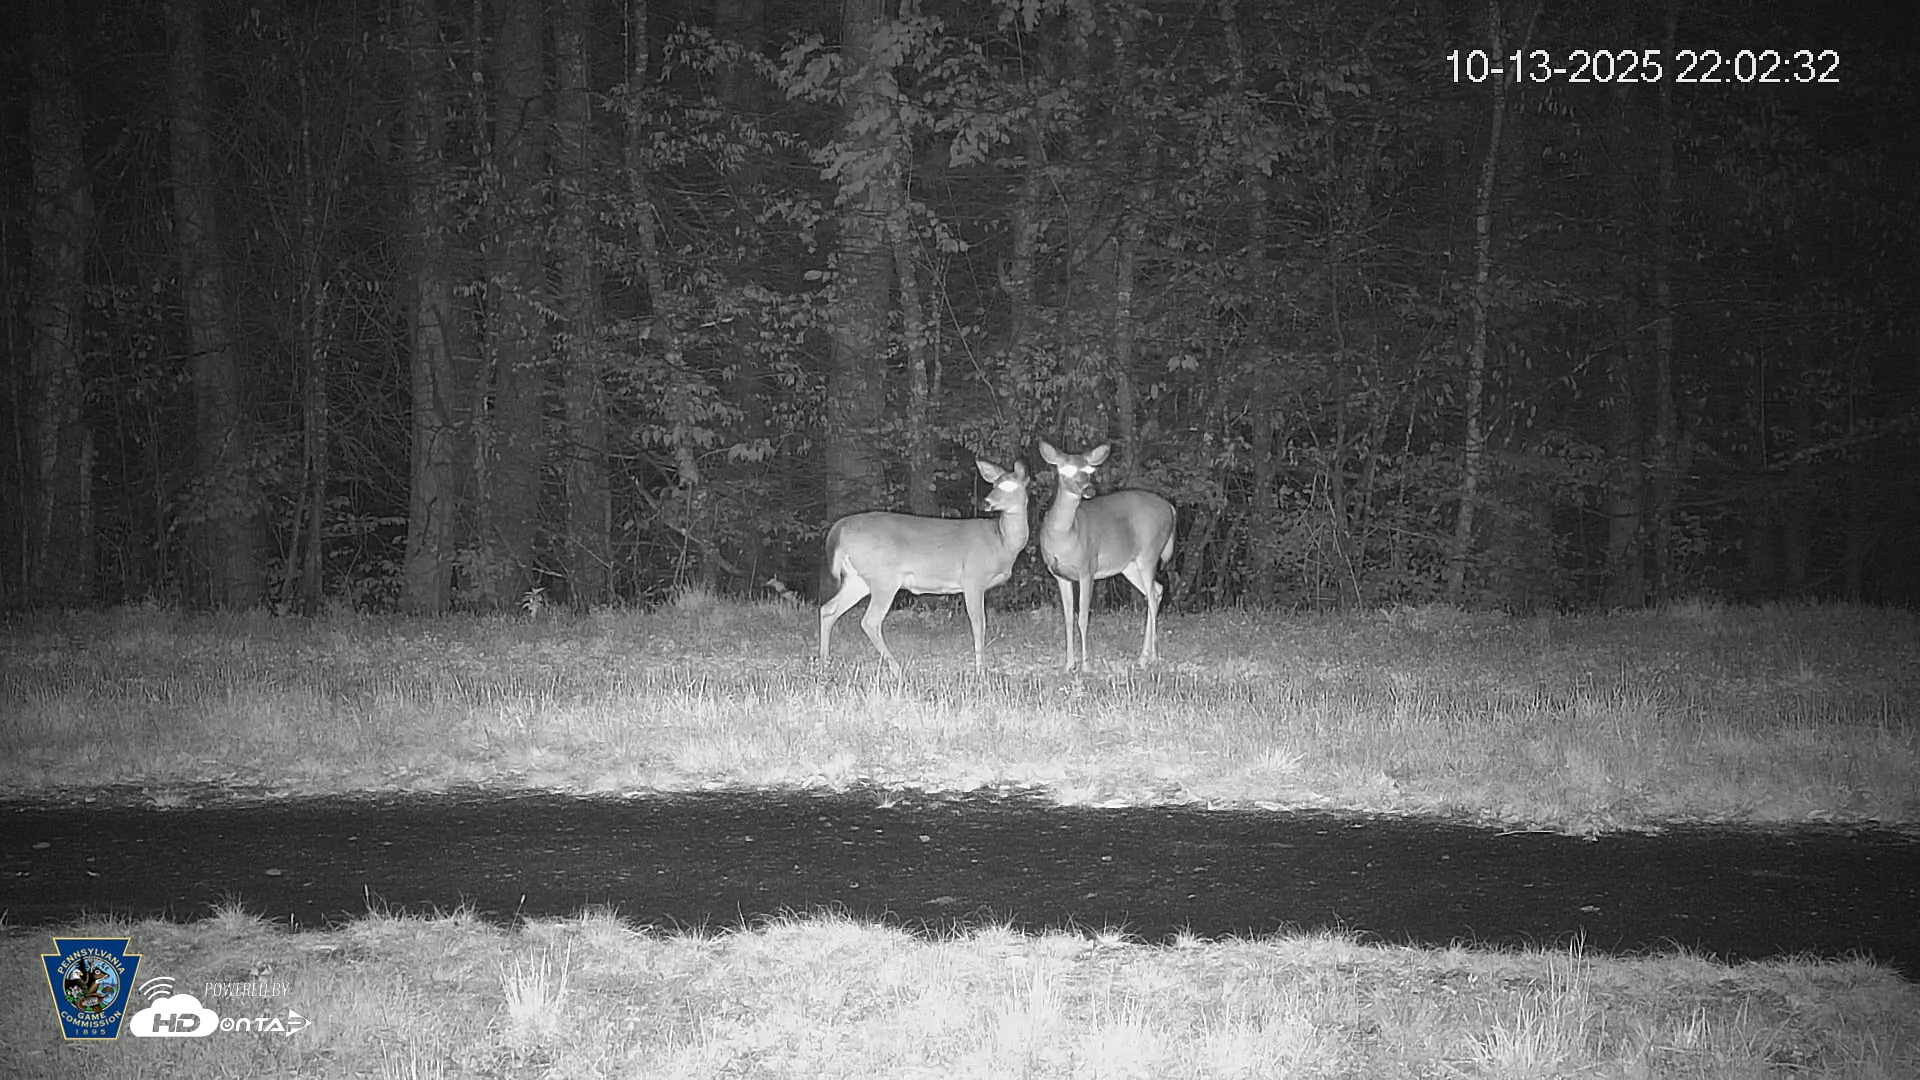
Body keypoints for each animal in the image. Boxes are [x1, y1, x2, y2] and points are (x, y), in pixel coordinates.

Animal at [819, 459, 1031, 677]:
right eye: (994, 485)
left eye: (1010, 485)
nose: (986, 503)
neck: (1002, 543)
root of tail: (840, 527)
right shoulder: (973, 578)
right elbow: (978, 623)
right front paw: (980, 670)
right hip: (884, 577)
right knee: (870, 621)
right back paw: (897, 669)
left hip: (858, 578)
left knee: (828, 609)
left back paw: (824, 662)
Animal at [1036, 440, 1177, 671]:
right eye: (1065, 469)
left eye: (1089, 471)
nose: (1089, 489)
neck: (1065, 535)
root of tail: (1171, 508)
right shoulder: (1060, 575)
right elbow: (1068, 619)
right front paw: (1068, 665)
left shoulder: (1087, 568)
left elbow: (1083, 618)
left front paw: (1085, 666)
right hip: (1129, 565)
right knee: (1157, 590)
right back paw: (1146, 656)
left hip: (1150, 552)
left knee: (1153, 595)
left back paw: (1150, 657)